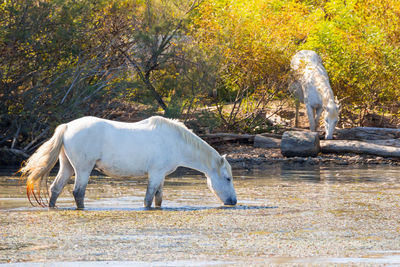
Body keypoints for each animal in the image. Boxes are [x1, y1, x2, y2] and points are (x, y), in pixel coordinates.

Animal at [19, 116, 238, 210]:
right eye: (227, 178)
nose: (234, 201)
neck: (176, 141)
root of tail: (66, 127)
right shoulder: (155, 174)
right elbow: (148, 199)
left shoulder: (161, 176)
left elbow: (158, 199)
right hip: (83, 169)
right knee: (78, 192)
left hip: (67, 167)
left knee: (55, 189)